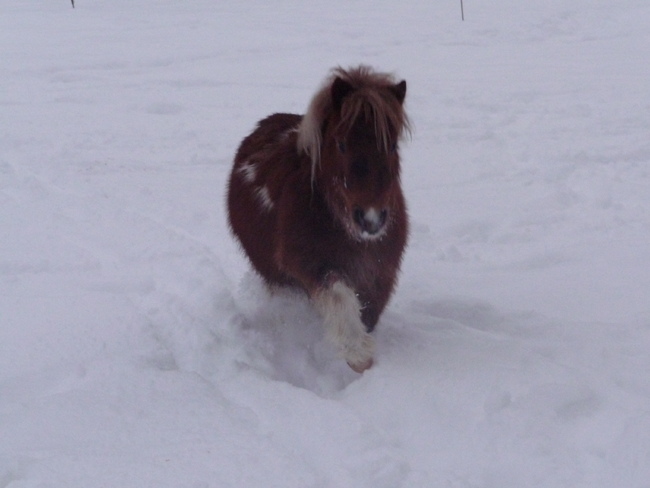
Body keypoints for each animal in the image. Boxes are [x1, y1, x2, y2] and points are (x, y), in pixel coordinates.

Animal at [227, 66, 410, 373]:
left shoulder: (380, 271)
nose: (371, 219)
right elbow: (339, 298)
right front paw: (357, 353)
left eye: (393, 145)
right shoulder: (311, 264)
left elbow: (368, 312)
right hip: (275, 276)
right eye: (342, 143)